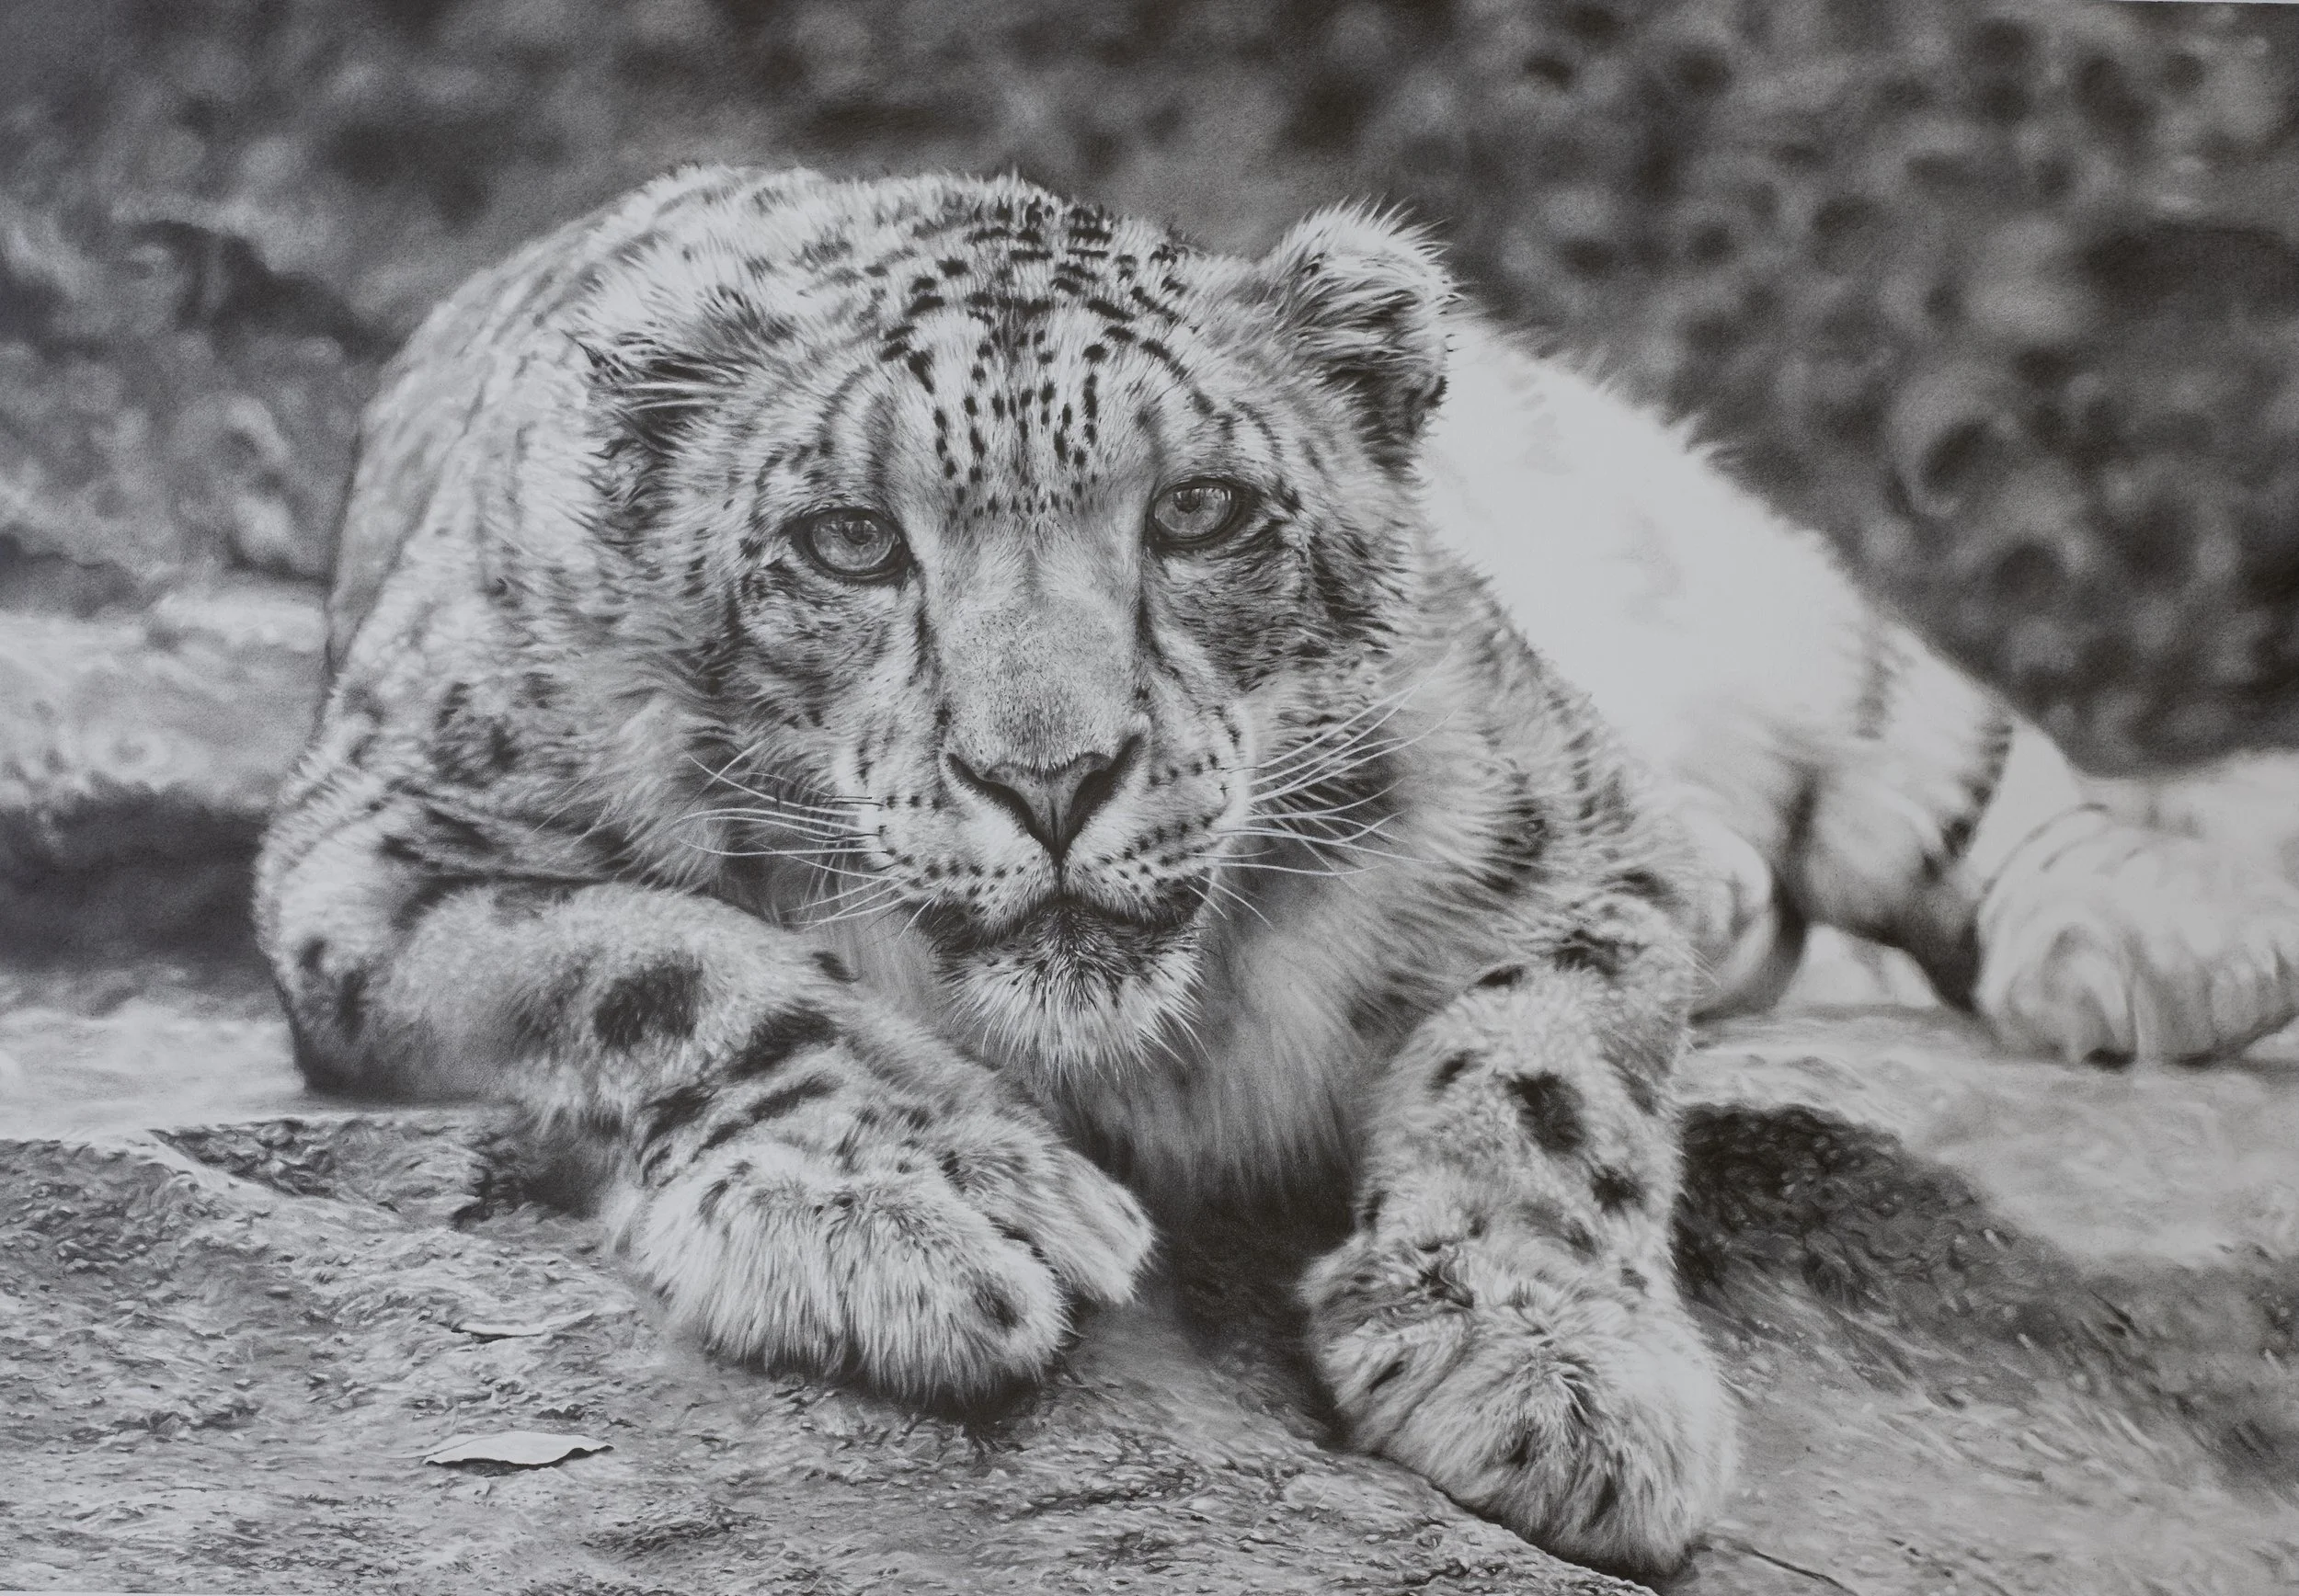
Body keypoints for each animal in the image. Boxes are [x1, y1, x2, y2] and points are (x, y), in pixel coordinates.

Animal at [256, 164, 2299, 1578]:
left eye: (1202, 513)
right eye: (846, 541)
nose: (1050, 774)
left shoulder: (1571, 820)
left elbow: (1543, 1066)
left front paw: (1549, 1370)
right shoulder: (389, 853)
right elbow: (676, 955)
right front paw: (921, 1206)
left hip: (1746, 594)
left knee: (1944, 748)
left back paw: (2157, 937)